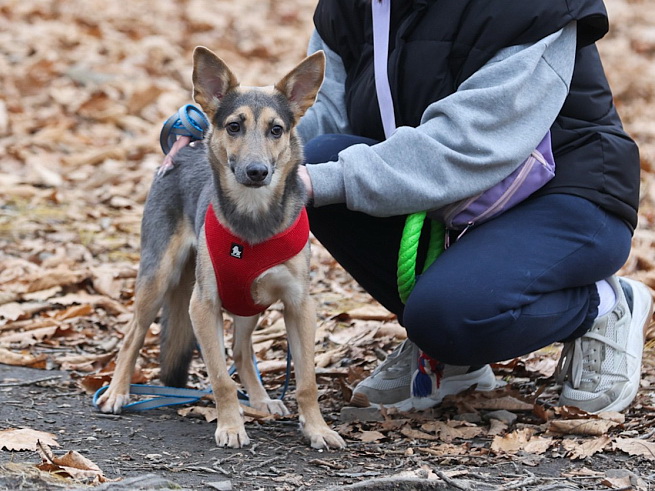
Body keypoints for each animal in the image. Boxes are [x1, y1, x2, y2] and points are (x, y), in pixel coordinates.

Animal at [96, 48, 348, 452]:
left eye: (276, 130)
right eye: (233, 127)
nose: (257, 171)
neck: (253, 217)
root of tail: (187, 147)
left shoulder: (299, 307)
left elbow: (307, 382)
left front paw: (317, 429)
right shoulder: (202, 306)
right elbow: (220, 378)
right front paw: (231, 426)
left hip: (250, 301)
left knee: (243, 351)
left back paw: (260, 399)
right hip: (157, 278)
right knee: (133, 335)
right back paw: (118, 392)